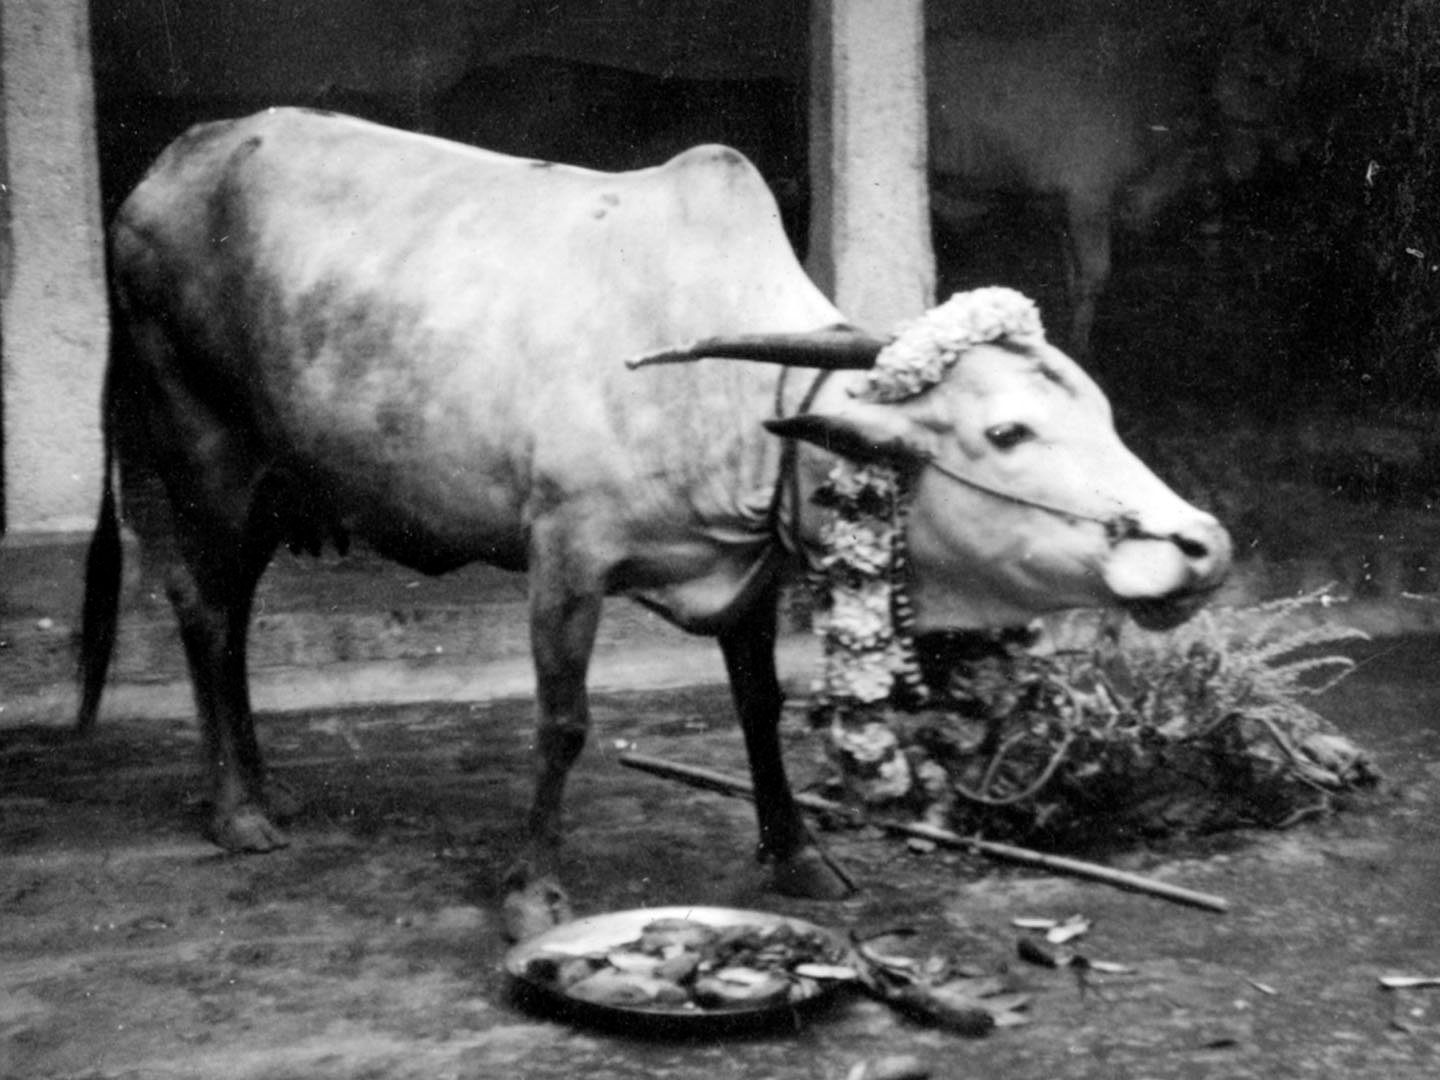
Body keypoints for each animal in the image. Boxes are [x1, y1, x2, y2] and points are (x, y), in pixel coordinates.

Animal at [77, 108, 1232, 940]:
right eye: (1006, 431)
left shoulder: (749, 569)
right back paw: (239, 811)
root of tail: (171, 163)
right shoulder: (565, 556)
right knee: (205, 609)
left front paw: (797, 855)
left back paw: (250, 787)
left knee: (221, 611)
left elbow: (761, 707)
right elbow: (562, 723)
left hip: (278, 477)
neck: (731, 400)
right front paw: (534, 893)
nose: (1203, 545)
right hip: (205, 452)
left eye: (1104, 412)